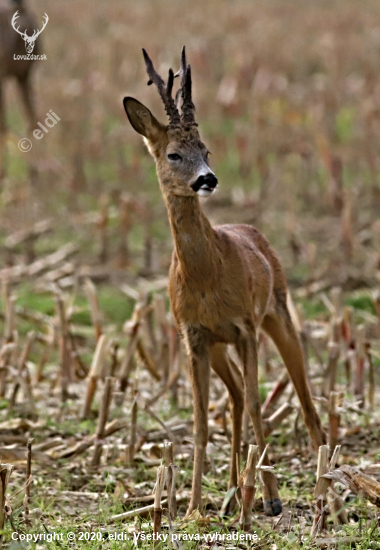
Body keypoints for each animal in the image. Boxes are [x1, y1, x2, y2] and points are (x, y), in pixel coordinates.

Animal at [123, 46, 326, 516]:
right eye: (174, 154)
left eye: (207, 149)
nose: (208, 179)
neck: (206, 277)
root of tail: (253, 233)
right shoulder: (193, 334)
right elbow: (200, 421)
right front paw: (193, 508)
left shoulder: (245, 326)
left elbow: (255, 404)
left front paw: (272, 498)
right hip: (218, 346)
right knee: (232, 394)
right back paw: (233, 492)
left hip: (278, 314)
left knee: (303, 400)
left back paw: (322, 487)